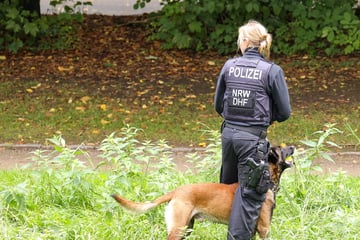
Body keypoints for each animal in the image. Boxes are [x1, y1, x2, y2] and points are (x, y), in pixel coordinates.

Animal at [112, 145, 296, 239]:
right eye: (283, 149)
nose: (293, 146)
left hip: (187, 228)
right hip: (178, 229)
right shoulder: (264, 229)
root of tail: (176, 191)